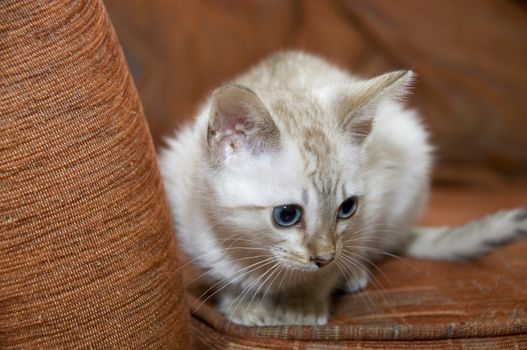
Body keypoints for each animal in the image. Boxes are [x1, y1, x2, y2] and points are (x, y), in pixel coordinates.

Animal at [158, 51, 527, 326]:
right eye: (287, 214)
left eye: (347, 208)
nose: (324, 257)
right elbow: (227, 277)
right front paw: (245, 302)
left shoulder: (373, 206)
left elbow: (334, 267)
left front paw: (303, 304)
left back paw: (354, 274)